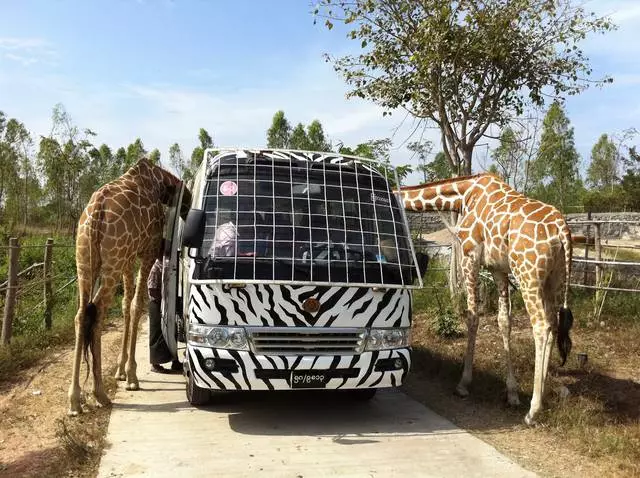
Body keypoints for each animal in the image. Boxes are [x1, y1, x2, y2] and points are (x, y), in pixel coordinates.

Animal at [69, 159, 191, 416]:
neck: (160, 184)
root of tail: (96, 213)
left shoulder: (128, 257)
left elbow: (126, 305)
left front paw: (120, 370)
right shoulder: (147, 251)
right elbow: (136, 305)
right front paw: (132, 375)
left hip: (84, 260)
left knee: (82, 314)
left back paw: (75, 400)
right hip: (112, 260)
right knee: (97, 312)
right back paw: (99, 393)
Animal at [400, 174, 576, 424]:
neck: (463, 195)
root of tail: (562, 230)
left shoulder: (469, 257)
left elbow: (473, 317)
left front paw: (463, 384)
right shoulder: (498, 269)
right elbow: (504, 321)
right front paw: (512, 393)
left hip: (528, 276)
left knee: (541, 326)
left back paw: (533, 410)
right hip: (554, 279)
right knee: (553, 323)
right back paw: (542, 392)